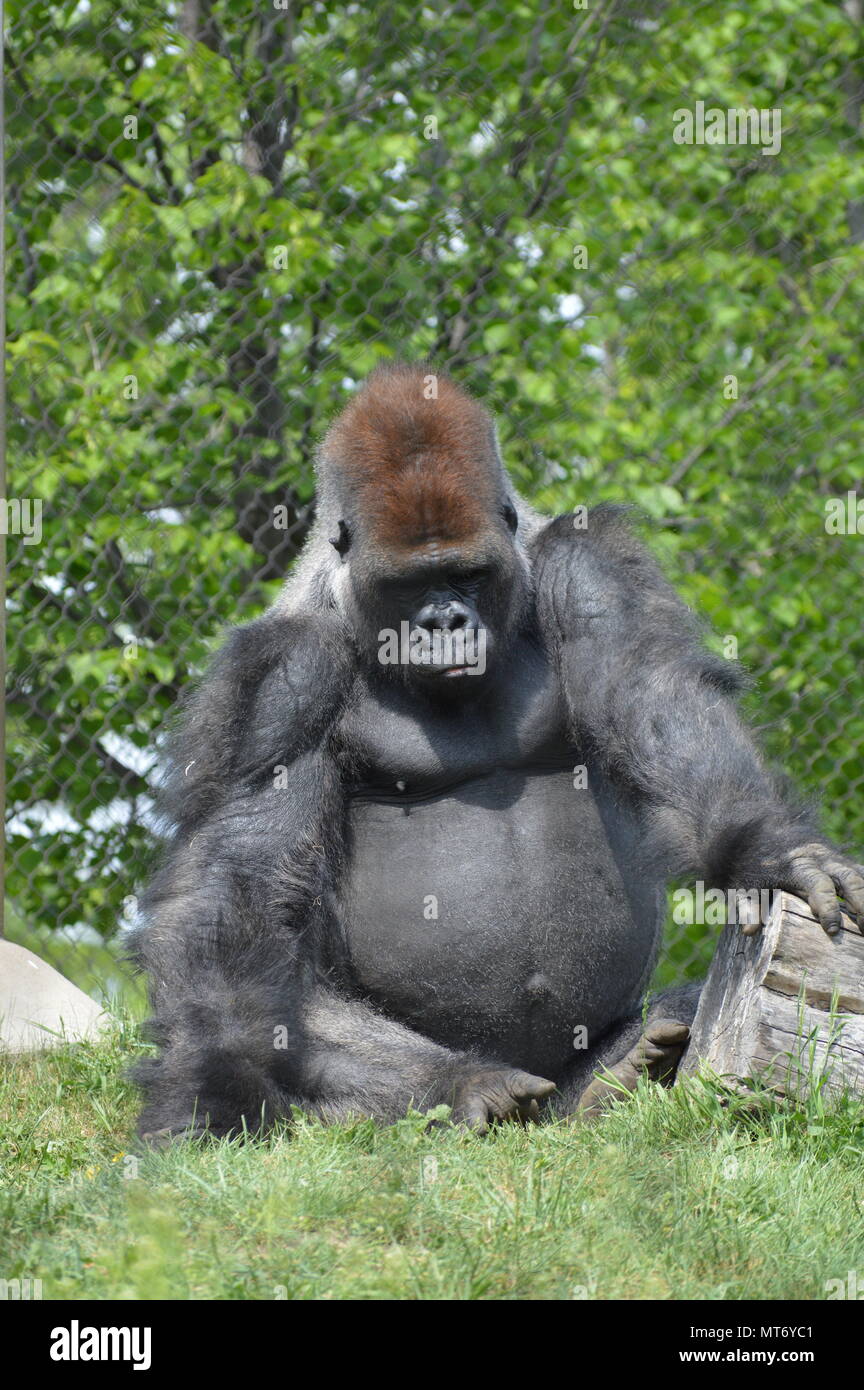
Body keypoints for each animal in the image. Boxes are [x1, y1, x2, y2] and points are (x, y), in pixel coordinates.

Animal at [131, 361, 864, 1139]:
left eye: (468, 573)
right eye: (410, 583)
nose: (446, 622)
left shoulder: (588, 565)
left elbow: (655, 694)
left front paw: (768, 850)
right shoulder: (281, 677)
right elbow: (238, 883)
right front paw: (216, 1086)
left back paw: (625, 1065)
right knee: (287, 1011)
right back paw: (464, 1084)